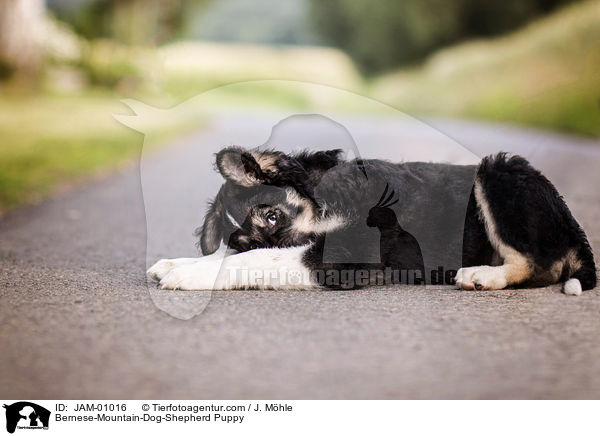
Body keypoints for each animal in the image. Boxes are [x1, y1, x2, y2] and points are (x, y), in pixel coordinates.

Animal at [149, 147, 596, 296]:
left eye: (274, 215)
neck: (327, 197)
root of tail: (572, 226)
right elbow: (243, 256)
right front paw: (178, 263)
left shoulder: (350, 253)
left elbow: (265, 260)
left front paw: (188, 274)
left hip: (498, 171)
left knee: (535, 264)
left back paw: (483, 275)